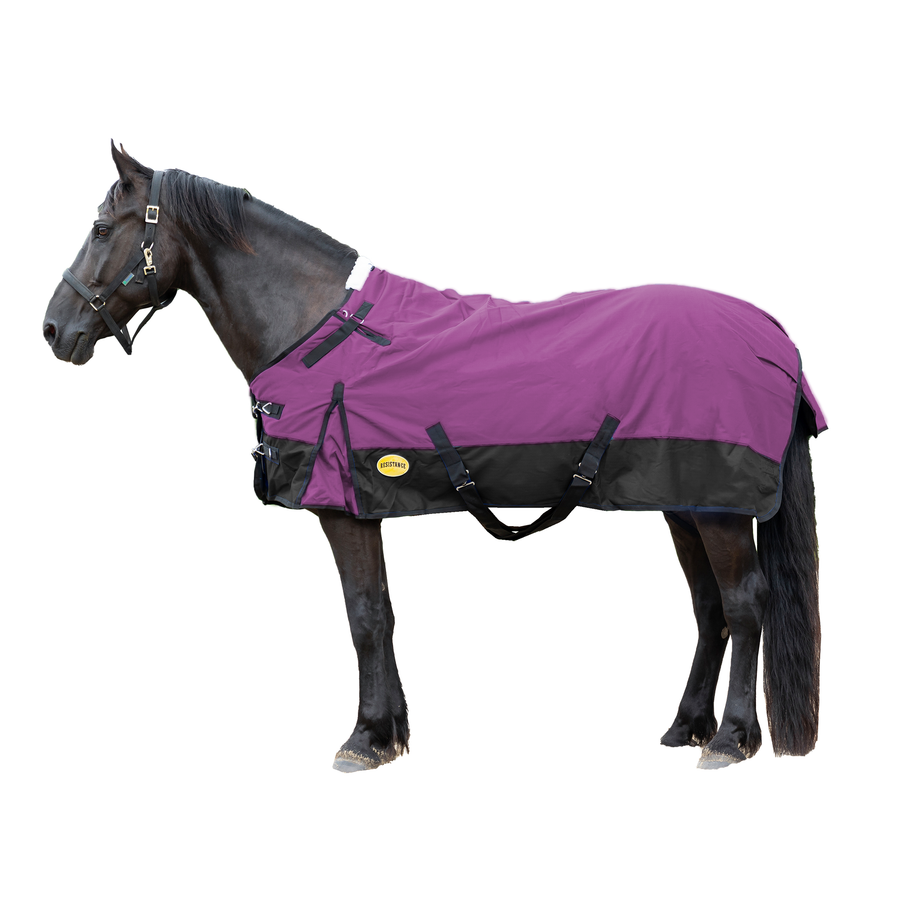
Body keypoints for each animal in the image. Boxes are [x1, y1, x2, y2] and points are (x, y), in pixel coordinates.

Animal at [43, 143, 823, 771]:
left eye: (101, 228)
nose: (53, 328)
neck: (312, 329)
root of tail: (771, 333)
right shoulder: (363, 507)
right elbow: (383, 612)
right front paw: (391, 733)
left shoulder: (340, 509)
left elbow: (362, 615)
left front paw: (362, 739)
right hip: (684, 501)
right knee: (709, 607)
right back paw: (686, 726)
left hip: (719, 508)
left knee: (744, 604)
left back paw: (731, 739)